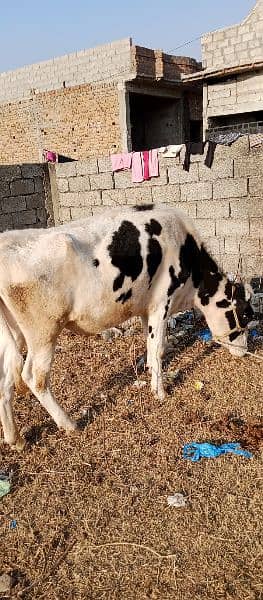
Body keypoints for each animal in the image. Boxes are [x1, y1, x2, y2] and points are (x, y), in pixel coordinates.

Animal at [0, 204, 255, 448]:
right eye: (244, 314)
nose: (246, 351)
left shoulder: (146, 308)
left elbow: (151, 346)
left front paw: (152, 374)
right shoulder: (162, 302)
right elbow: (158, 349)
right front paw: (160, 392)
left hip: (15, 332)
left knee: (6, 377)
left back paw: (16, 439)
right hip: (44, 332)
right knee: (34, 376)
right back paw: (68, 424)